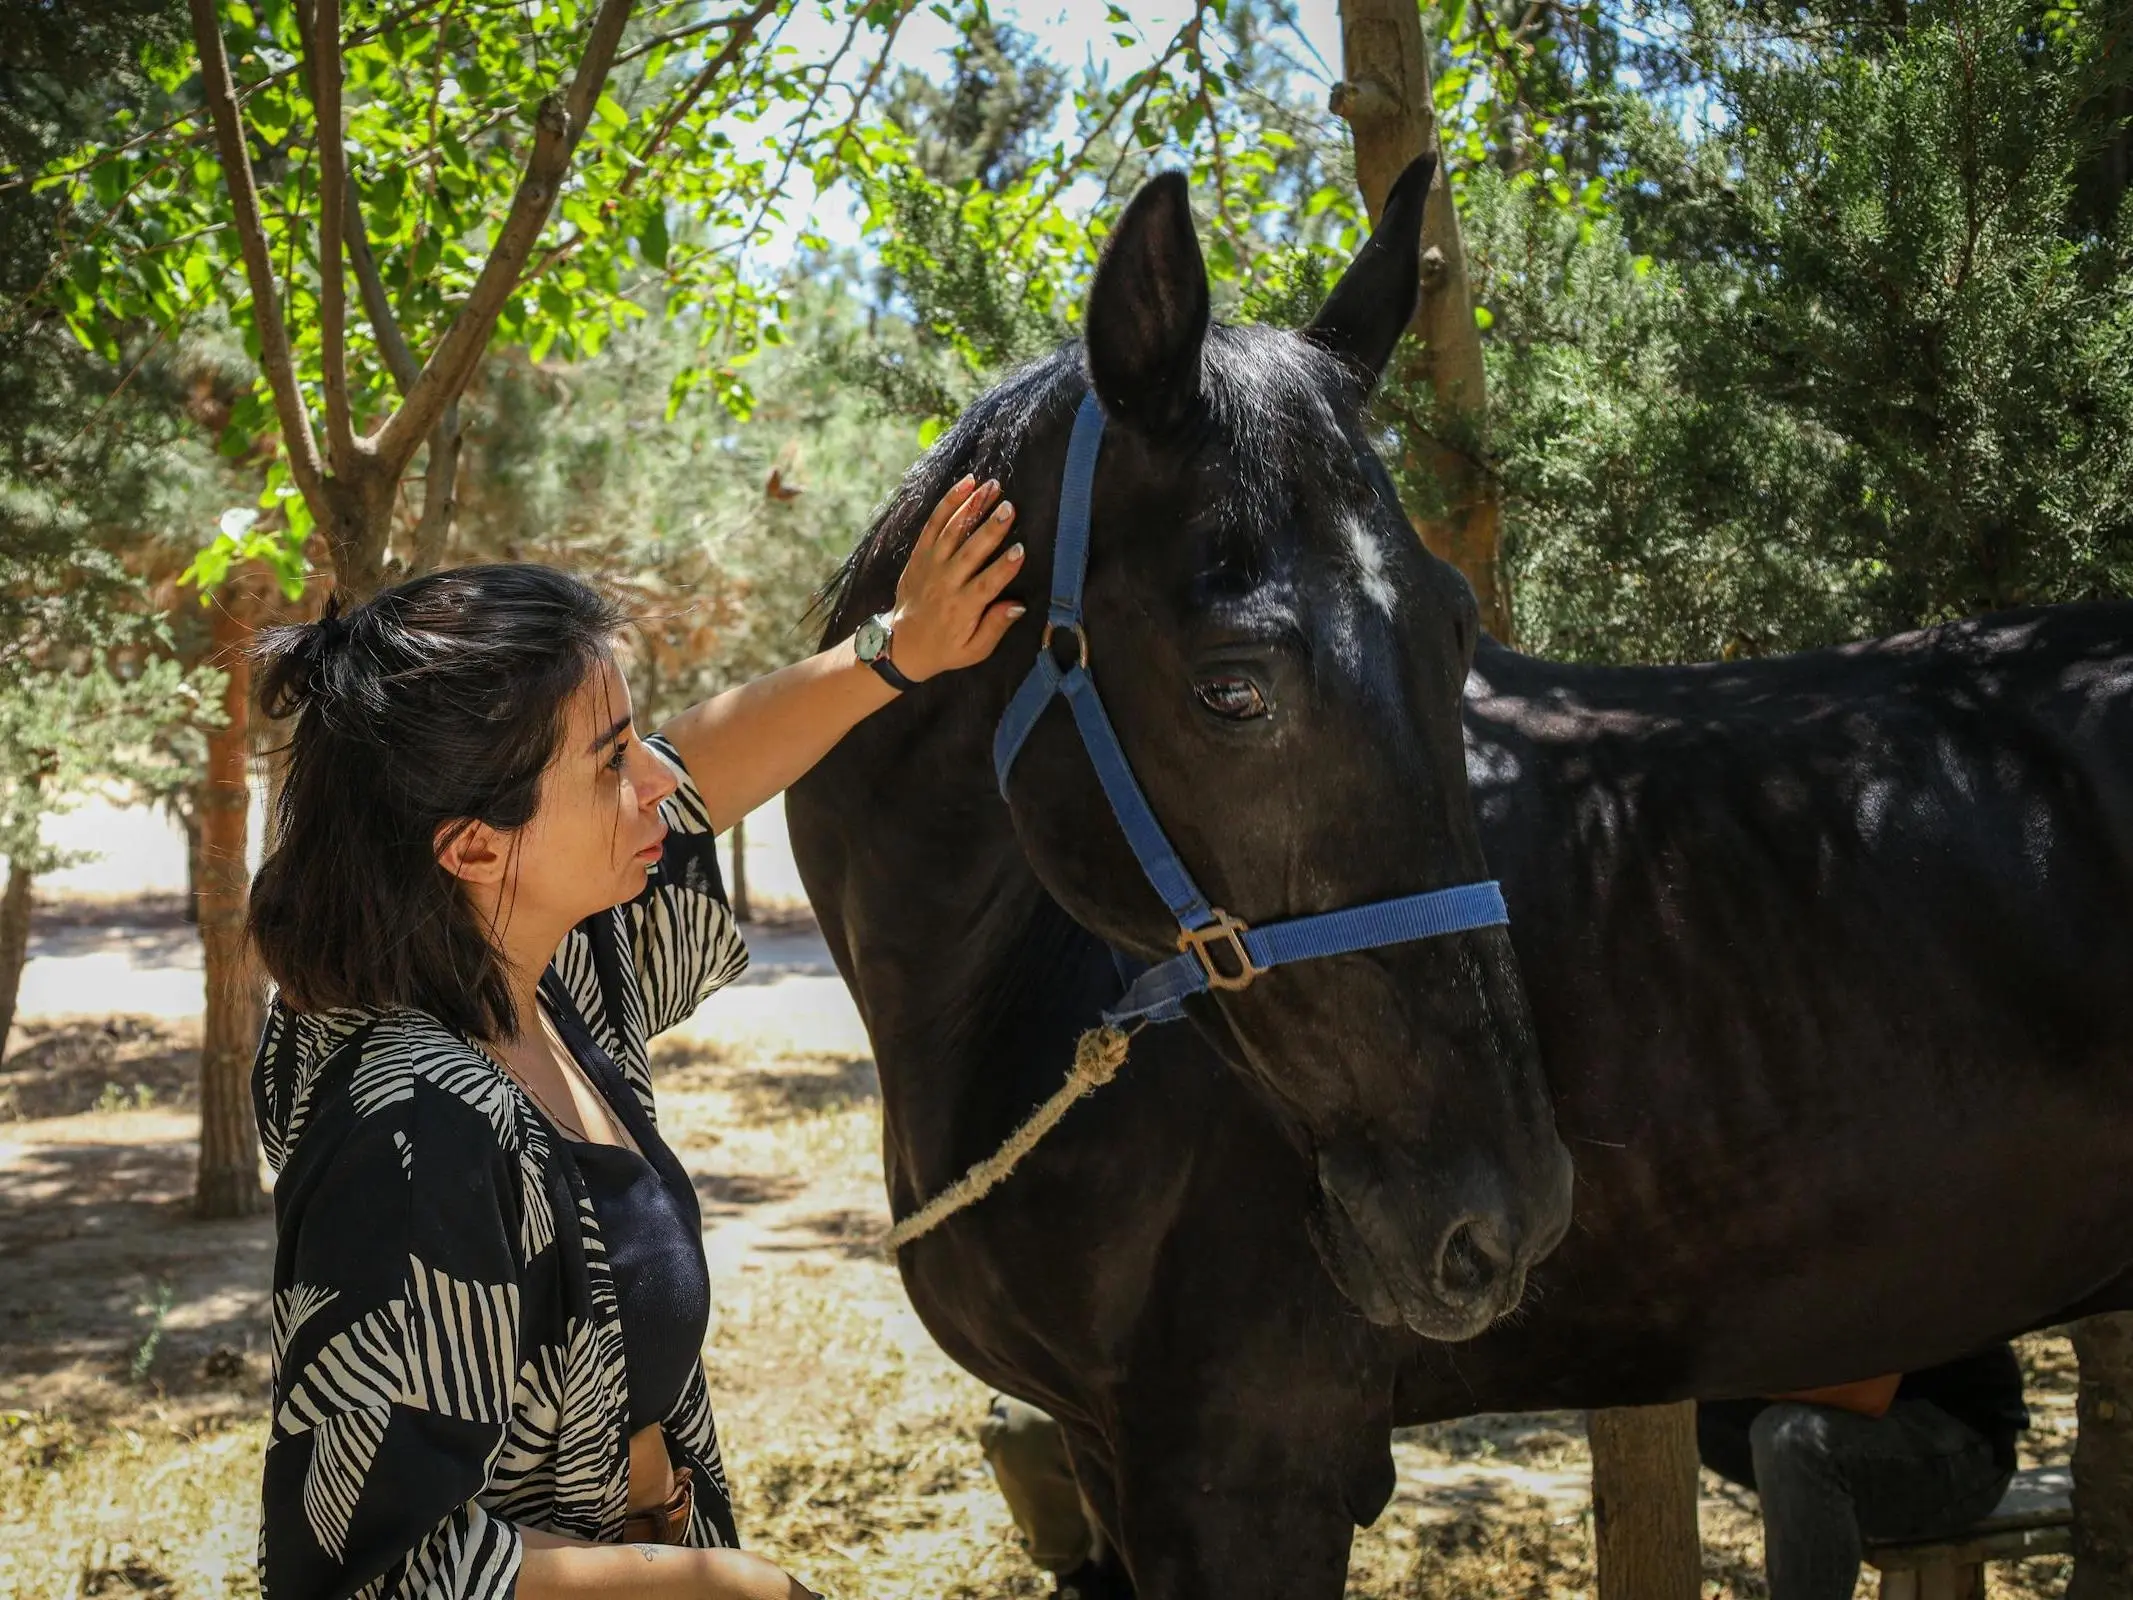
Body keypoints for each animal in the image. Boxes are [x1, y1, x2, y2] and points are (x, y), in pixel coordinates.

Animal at [784, 169, 2133, 1595]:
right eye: (1232, 688)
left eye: (1457, 630)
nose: (1504, 1217)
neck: (1002, 999)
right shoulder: (1111, 1458)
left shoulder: (1243, 1474)